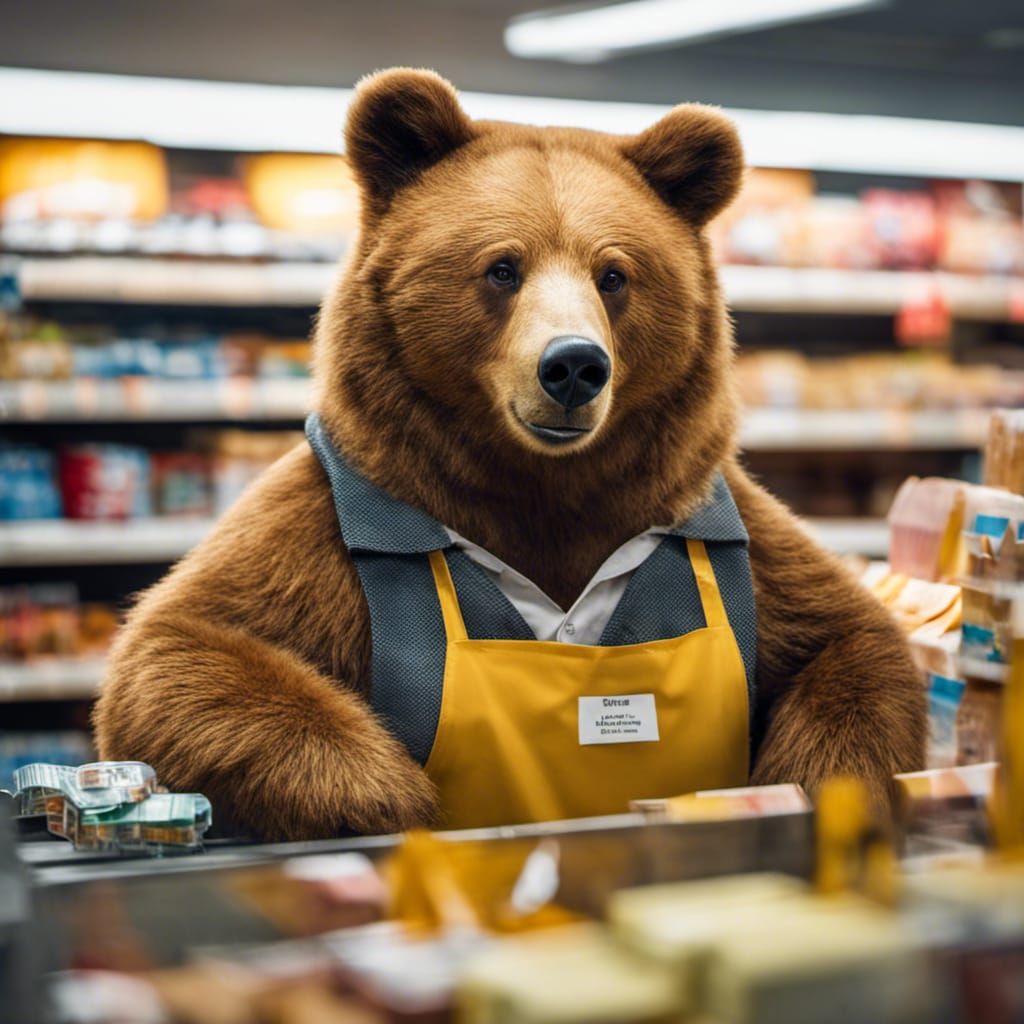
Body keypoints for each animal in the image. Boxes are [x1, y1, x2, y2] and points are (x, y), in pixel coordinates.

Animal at [93, 68, 926, 841]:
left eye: (614, 273)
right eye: (503, 266)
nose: (574, 365)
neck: (541, 487)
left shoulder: (712, 518)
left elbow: (852, 638)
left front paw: (820, 788)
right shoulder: (327, 527)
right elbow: (186, 646)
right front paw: (392, 798)